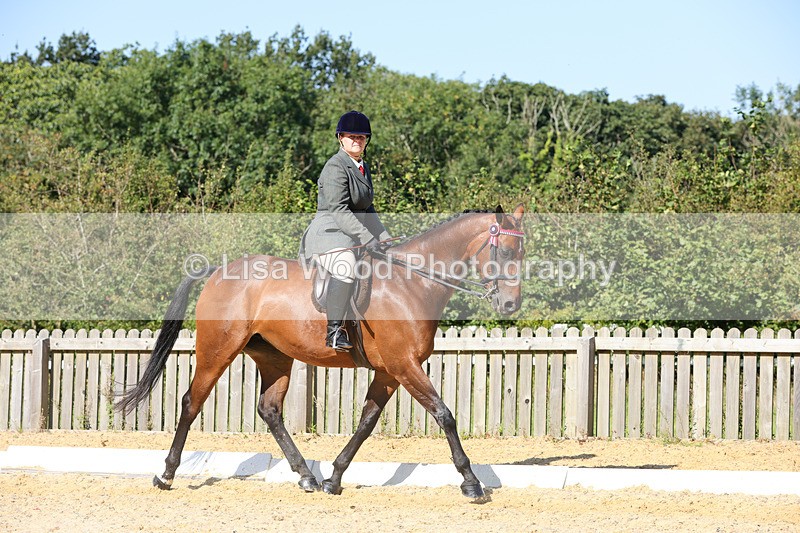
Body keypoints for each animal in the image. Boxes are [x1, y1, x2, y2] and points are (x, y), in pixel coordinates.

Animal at [117, 204, 526, 501]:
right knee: (191, 402)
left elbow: (366, 422)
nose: (510, 305)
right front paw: (471, 482)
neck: (411, 282)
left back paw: (307, 477)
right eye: (506, 251)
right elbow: (445, 415)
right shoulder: (405, 366)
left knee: (270, 410)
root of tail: (217, 271)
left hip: (275, 358)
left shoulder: (389, 372)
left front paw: (334, 477)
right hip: (217, 351)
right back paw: (166, 474)